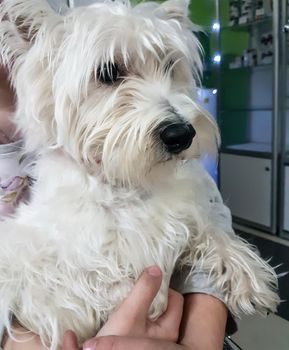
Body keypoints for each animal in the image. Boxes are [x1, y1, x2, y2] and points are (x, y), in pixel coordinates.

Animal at [0, 0, 280, 348]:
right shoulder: (51, 261)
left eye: (170, 65)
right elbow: (84, 286)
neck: (126, 181)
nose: (181, 134)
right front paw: (152, 301)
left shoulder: (182, 213)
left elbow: (209, 229)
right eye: (108, 73)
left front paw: (248, 275)